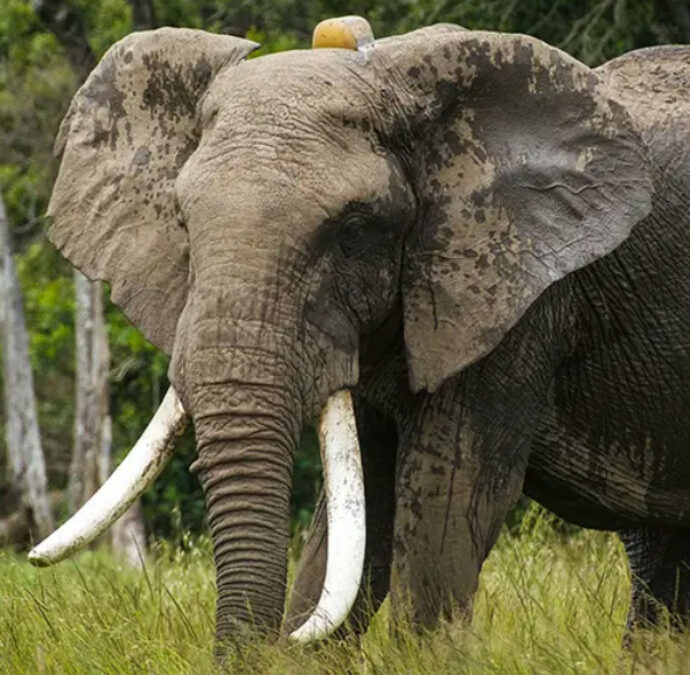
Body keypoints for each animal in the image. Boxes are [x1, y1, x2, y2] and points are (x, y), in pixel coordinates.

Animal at [29, 16, 690, 646]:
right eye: (185, 225)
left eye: (353, 230)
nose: (276, 640)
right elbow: (359, 511)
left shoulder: (517, 299)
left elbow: (444, 502)